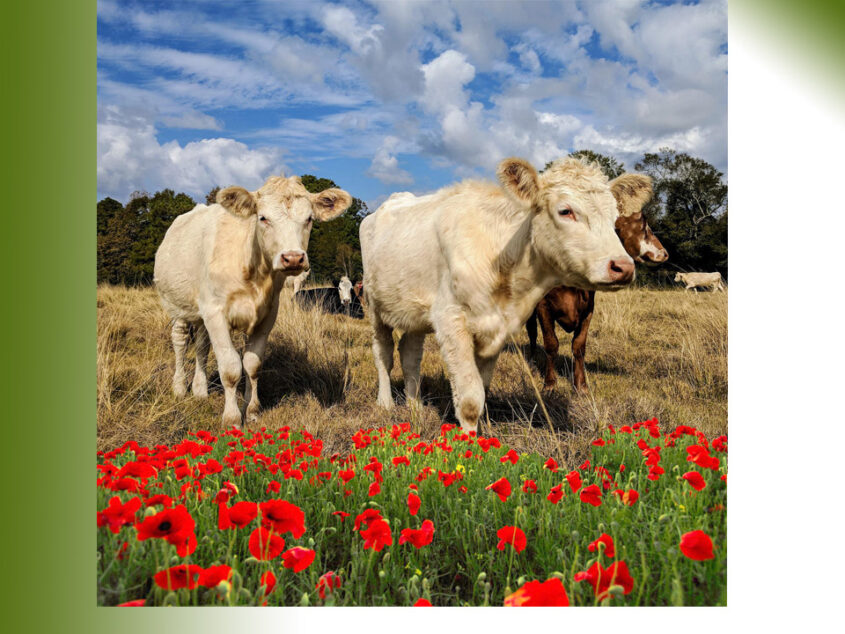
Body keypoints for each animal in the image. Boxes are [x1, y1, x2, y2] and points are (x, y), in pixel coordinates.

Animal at [153, 175, 352, 428]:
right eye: (263, 218)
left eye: (309, 219)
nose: (293, 258)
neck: (256, 274)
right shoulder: (216, 313)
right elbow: (230, 368)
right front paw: (232, 419)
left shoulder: (266, 315)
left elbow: (252, 365)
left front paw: (252, 411)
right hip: (176, 306)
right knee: (180, 342)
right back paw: (179, 387)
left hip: (201, 313)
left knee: (201, 345)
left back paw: (200, 389)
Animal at [358, 156, 648, 432]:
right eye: (565, 211)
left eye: (614, 218)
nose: (623, 267)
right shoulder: (451, 321)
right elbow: (470, 399)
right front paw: (468, 440)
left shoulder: (497, 328)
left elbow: (482, 388)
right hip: (374, 306)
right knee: (383, 353)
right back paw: (385, 403)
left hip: (415, 313)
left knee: (410, 355)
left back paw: (415, 406)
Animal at [528, 180, 664, 390]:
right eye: (643, 223)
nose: (665, 252)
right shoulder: (543, 307)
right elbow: (551, 344)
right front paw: (550, 384)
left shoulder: (588, 309)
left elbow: (579, 346)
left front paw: (581, 384)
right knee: (532, 335)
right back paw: (533, 366)